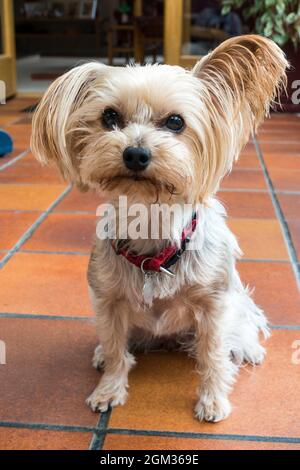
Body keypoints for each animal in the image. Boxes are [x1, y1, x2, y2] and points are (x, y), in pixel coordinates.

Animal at [31, 35, 288, 420]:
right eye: (109, 117)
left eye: (176, 122)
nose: (135, 154)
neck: (151, 226)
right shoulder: (107, 301)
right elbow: (115, 351)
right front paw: (108, 389)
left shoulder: (214, 305)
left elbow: (213, 355)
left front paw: (213, 400)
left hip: (237, 303)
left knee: (242, 327)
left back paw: (249, 349)